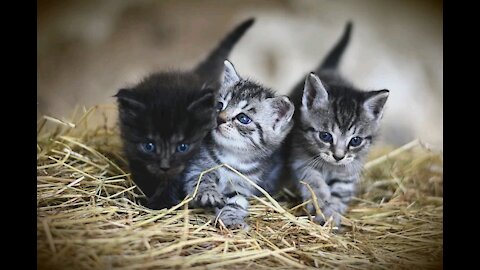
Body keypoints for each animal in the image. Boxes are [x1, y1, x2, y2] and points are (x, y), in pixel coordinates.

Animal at [115, 17, 255, 210]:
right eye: (149, 146)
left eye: (183, 147)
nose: (165, 166)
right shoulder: (134, 153)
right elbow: (143, 173)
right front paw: (144, 196)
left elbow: (175, 180)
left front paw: (161, 203)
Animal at [184, 60, 294, 229]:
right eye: (219, 105)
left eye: (243, 118)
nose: (219, 119)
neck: (231, 157)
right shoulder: (196, 166)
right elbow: (201, 178)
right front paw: (208, 192)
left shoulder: (242, 186)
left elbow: (236, 202)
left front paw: (232, 218)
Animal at [286, 22, 388, 227]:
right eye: (325, 136)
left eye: (355, 141)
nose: (338, 156)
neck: (330, 167)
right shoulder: (298, 158)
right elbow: (312, 178)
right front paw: (320, 201)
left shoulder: (349, 171)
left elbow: (341, 192)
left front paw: (333, 214)